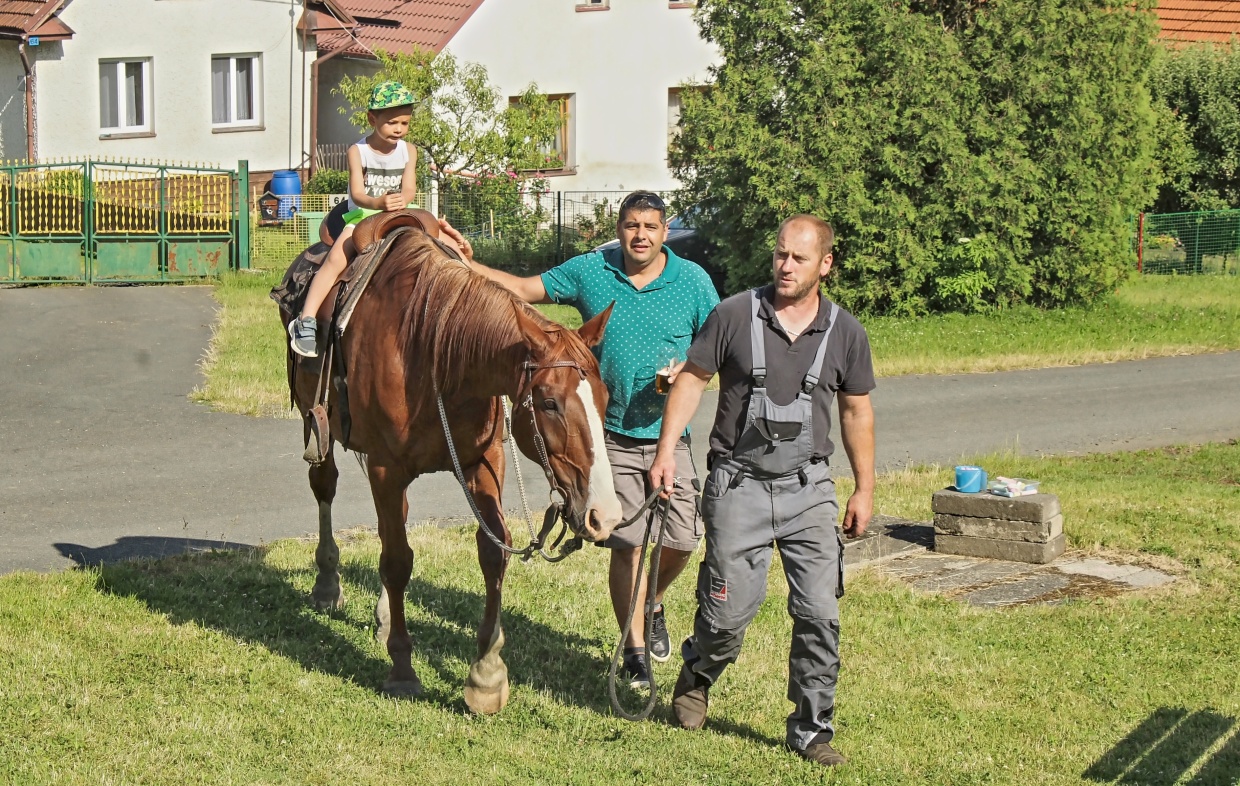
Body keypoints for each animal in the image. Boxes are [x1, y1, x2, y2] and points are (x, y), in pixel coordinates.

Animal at [277, 213, 623, 714]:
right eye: (550, 403)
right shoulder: (385, 468)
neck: (436, 354)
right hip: (315, 420)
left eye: (605, 398)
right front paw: (402, 670)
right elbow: (397, 560)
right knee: (325, 484)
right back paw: (327, 584)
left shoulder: (484, 461)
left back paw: (383, 616)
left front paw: (486, 676)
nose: (606, 515)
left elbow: (493, 551)